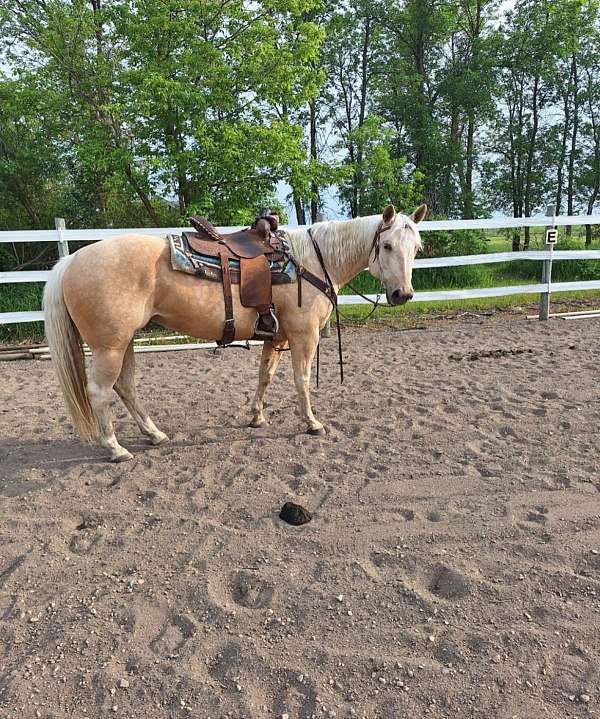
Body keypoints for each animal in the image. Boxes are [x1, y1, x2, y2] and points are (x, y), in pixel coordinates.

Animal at [42, 203, 427, 461]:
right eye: (387, 246)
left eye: (416, 247)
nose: (403, 294)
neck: (311, 263)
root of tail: (71, 260)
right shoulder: (304, 336)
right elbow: (301, 379)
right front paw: (312, 423)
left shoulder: (276, 337)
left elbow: (264, 377)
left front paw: (257, 417)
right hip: (109, 347)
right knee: (100, 392)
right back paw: (116, 448)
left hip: (126, 344)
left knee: (126, 387)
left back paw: (154, 434)